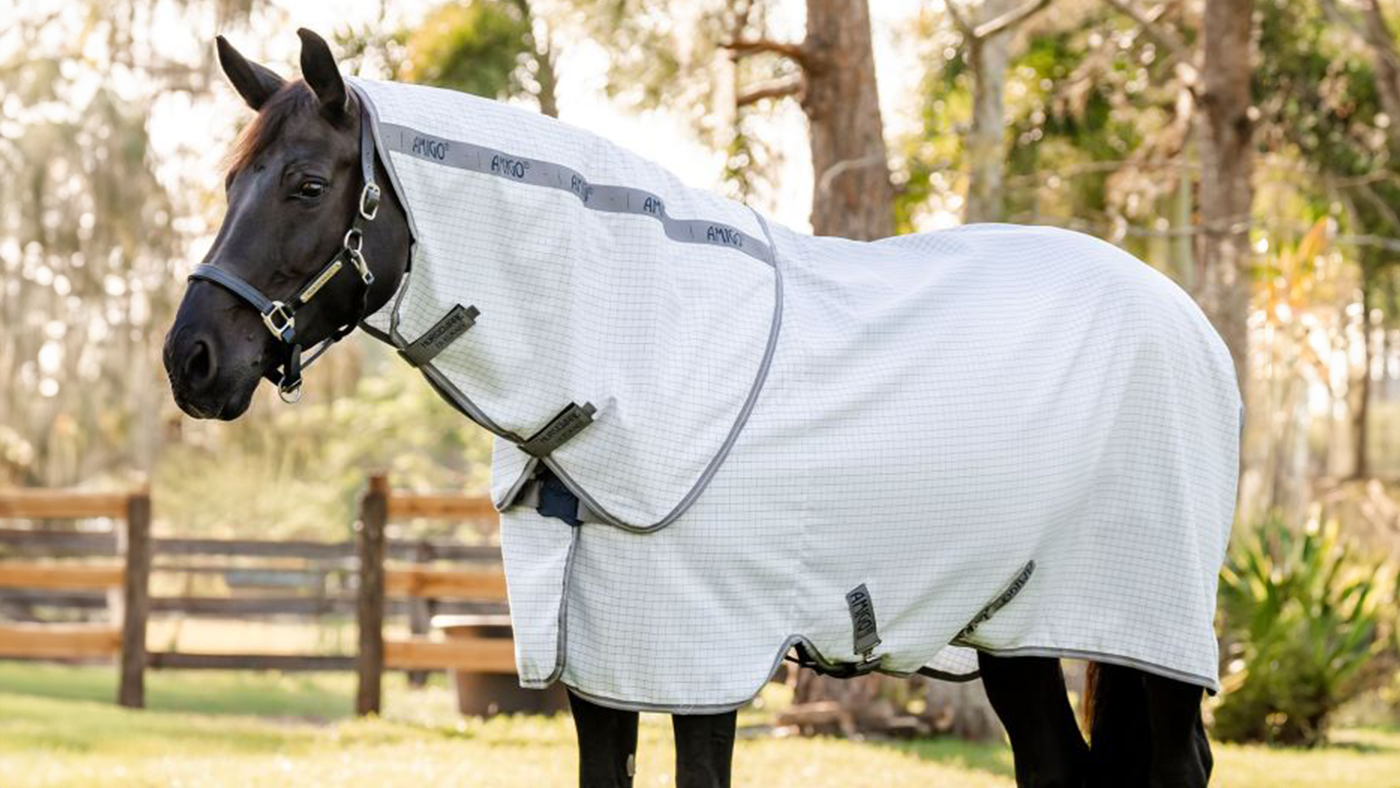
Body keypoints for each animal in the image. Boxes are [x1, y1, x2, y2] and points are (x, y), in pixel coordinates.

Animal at [163, 29, 1234, 788]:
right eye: (230, 180)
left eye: (308, 184)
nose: (191, 359)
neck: (640, 353)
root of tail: (1195, 328)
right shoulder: (600, 661)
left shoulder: (697, 655)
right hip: (1023, 632)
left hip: (1150, 635)